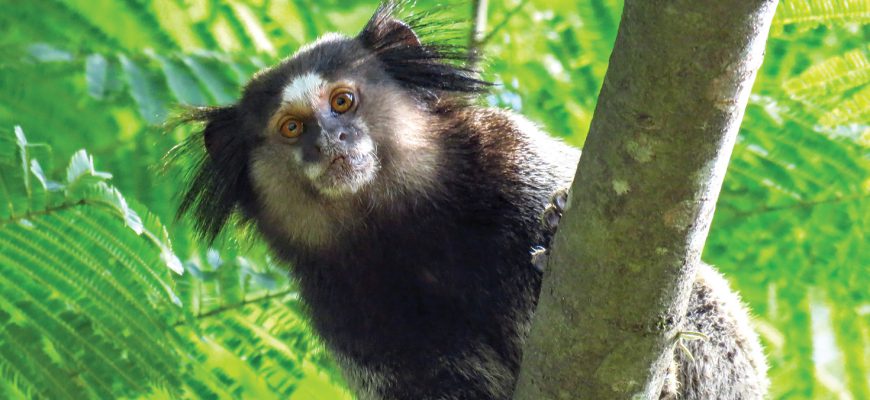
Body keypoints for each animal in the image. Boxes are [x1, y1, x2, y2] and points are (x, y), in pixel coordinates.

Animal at [177, 2, 768, 399]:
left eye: (342, 102)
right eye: (292, 128)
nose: (329, 141)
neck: (405, 229)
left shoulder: (515, 160)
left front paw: (555, 232)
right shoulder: (344, 313)